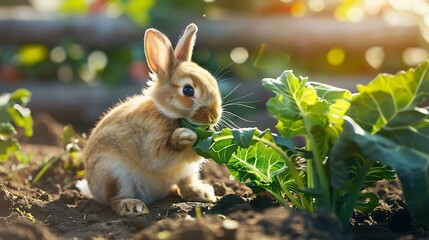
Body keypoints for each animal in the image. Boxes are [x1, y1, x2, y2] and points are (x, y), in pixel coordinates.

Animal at [77, 23, 222, 217]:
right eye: (188, 90)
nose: (214, 116)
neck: (168, 114)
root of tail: (92, 191)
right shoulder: (152, 140)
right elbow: (161, 155)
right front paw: (184, 136)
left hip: (187, 173)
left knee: (185, 184)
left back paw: (203, 193)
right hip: (114, 174)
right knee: (115, 199)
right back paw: (132, 206)